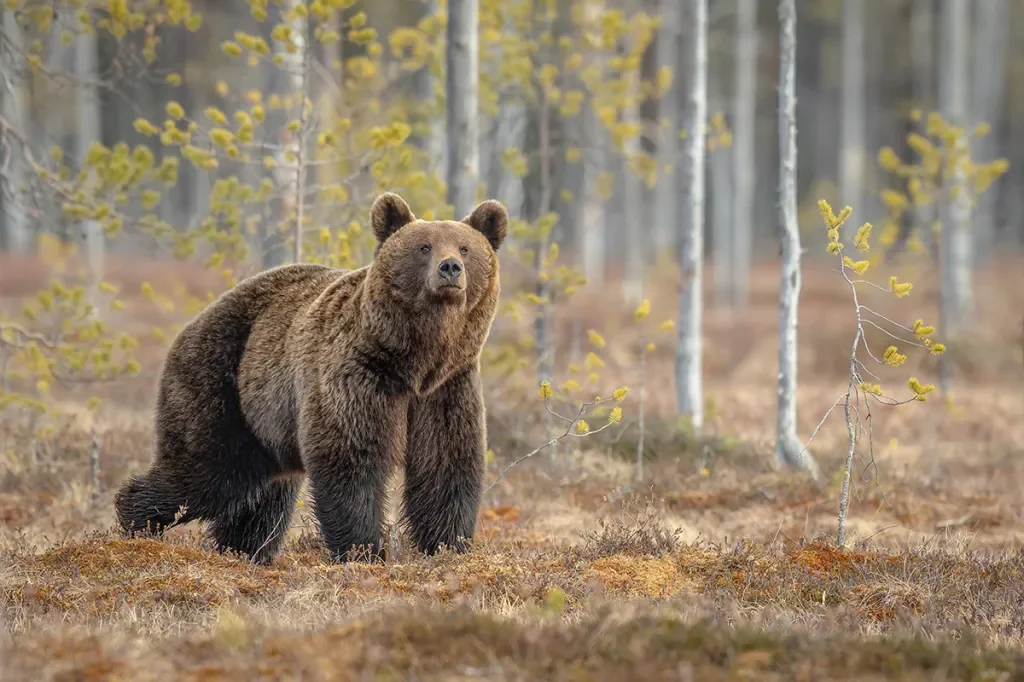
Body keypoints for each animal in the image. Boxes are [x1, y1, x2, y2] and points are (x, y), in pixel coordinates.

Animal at [113, 192, 508, 565]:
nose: (450, 268)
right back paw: (135, 521)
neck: (414, 360)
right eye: (424, 246)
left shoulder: (446, 389)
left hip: (266, 426)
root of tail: (193, 322)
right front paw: (362, 550)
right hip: (221, 382)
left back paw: (242, 550)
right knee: (206, 470)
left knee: (263, 497)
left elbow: (446, 463)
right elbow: (350, 458)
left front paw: (447, 545)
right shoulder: (356, 375)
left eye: (465, 248)